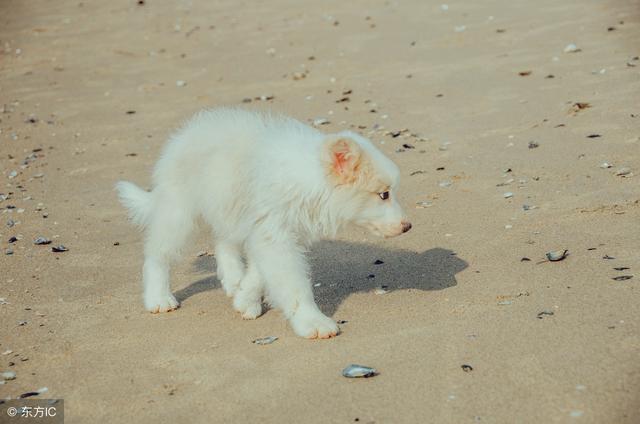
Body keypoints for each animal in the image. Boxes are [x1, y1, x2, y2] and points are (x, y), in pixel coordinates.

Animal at [117, 107, 412, 340]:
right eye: (383, 195)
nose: (407, 226)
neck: (309, 180)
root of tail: (181, 137)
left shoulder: (276, 232)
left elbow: (260, 272)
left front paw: (245, 299)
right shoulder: (275, 236)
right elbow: (293, 284)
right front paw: (312, 322)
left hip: (227, 206)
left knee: (223, 241)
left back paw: (233, 278)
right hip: (179, 211)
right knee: (158, 255)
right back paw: (158, 297)